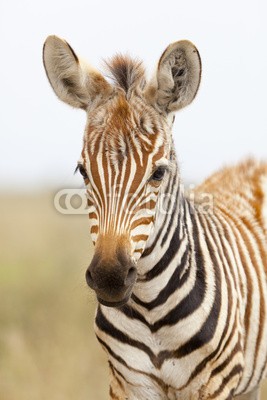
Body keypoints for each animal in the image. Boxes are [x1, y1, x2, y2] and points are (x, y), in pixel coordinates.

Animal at [43, 36, 266, 398]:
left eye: (159, 173)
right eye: (83, 172)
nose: (109, 277)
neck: (151, 309)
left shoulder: (215, 384)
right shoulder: (127, 382)